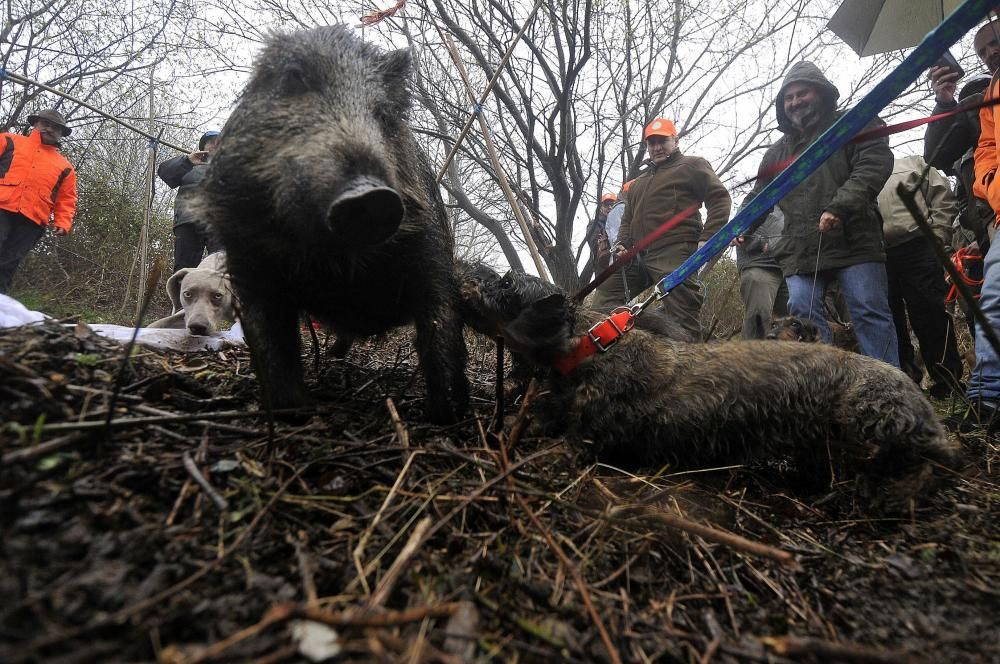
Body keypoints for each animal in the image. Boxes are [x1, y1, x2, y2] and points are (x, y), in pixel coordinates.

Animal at [460, 264, 960, 508]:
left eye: (505, 282)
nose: (461, 274)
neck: (589, 346)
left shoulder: (583, 436)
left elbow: (557, 447)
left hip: (869, 417)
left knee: (937, 461)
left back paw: (892, 490)